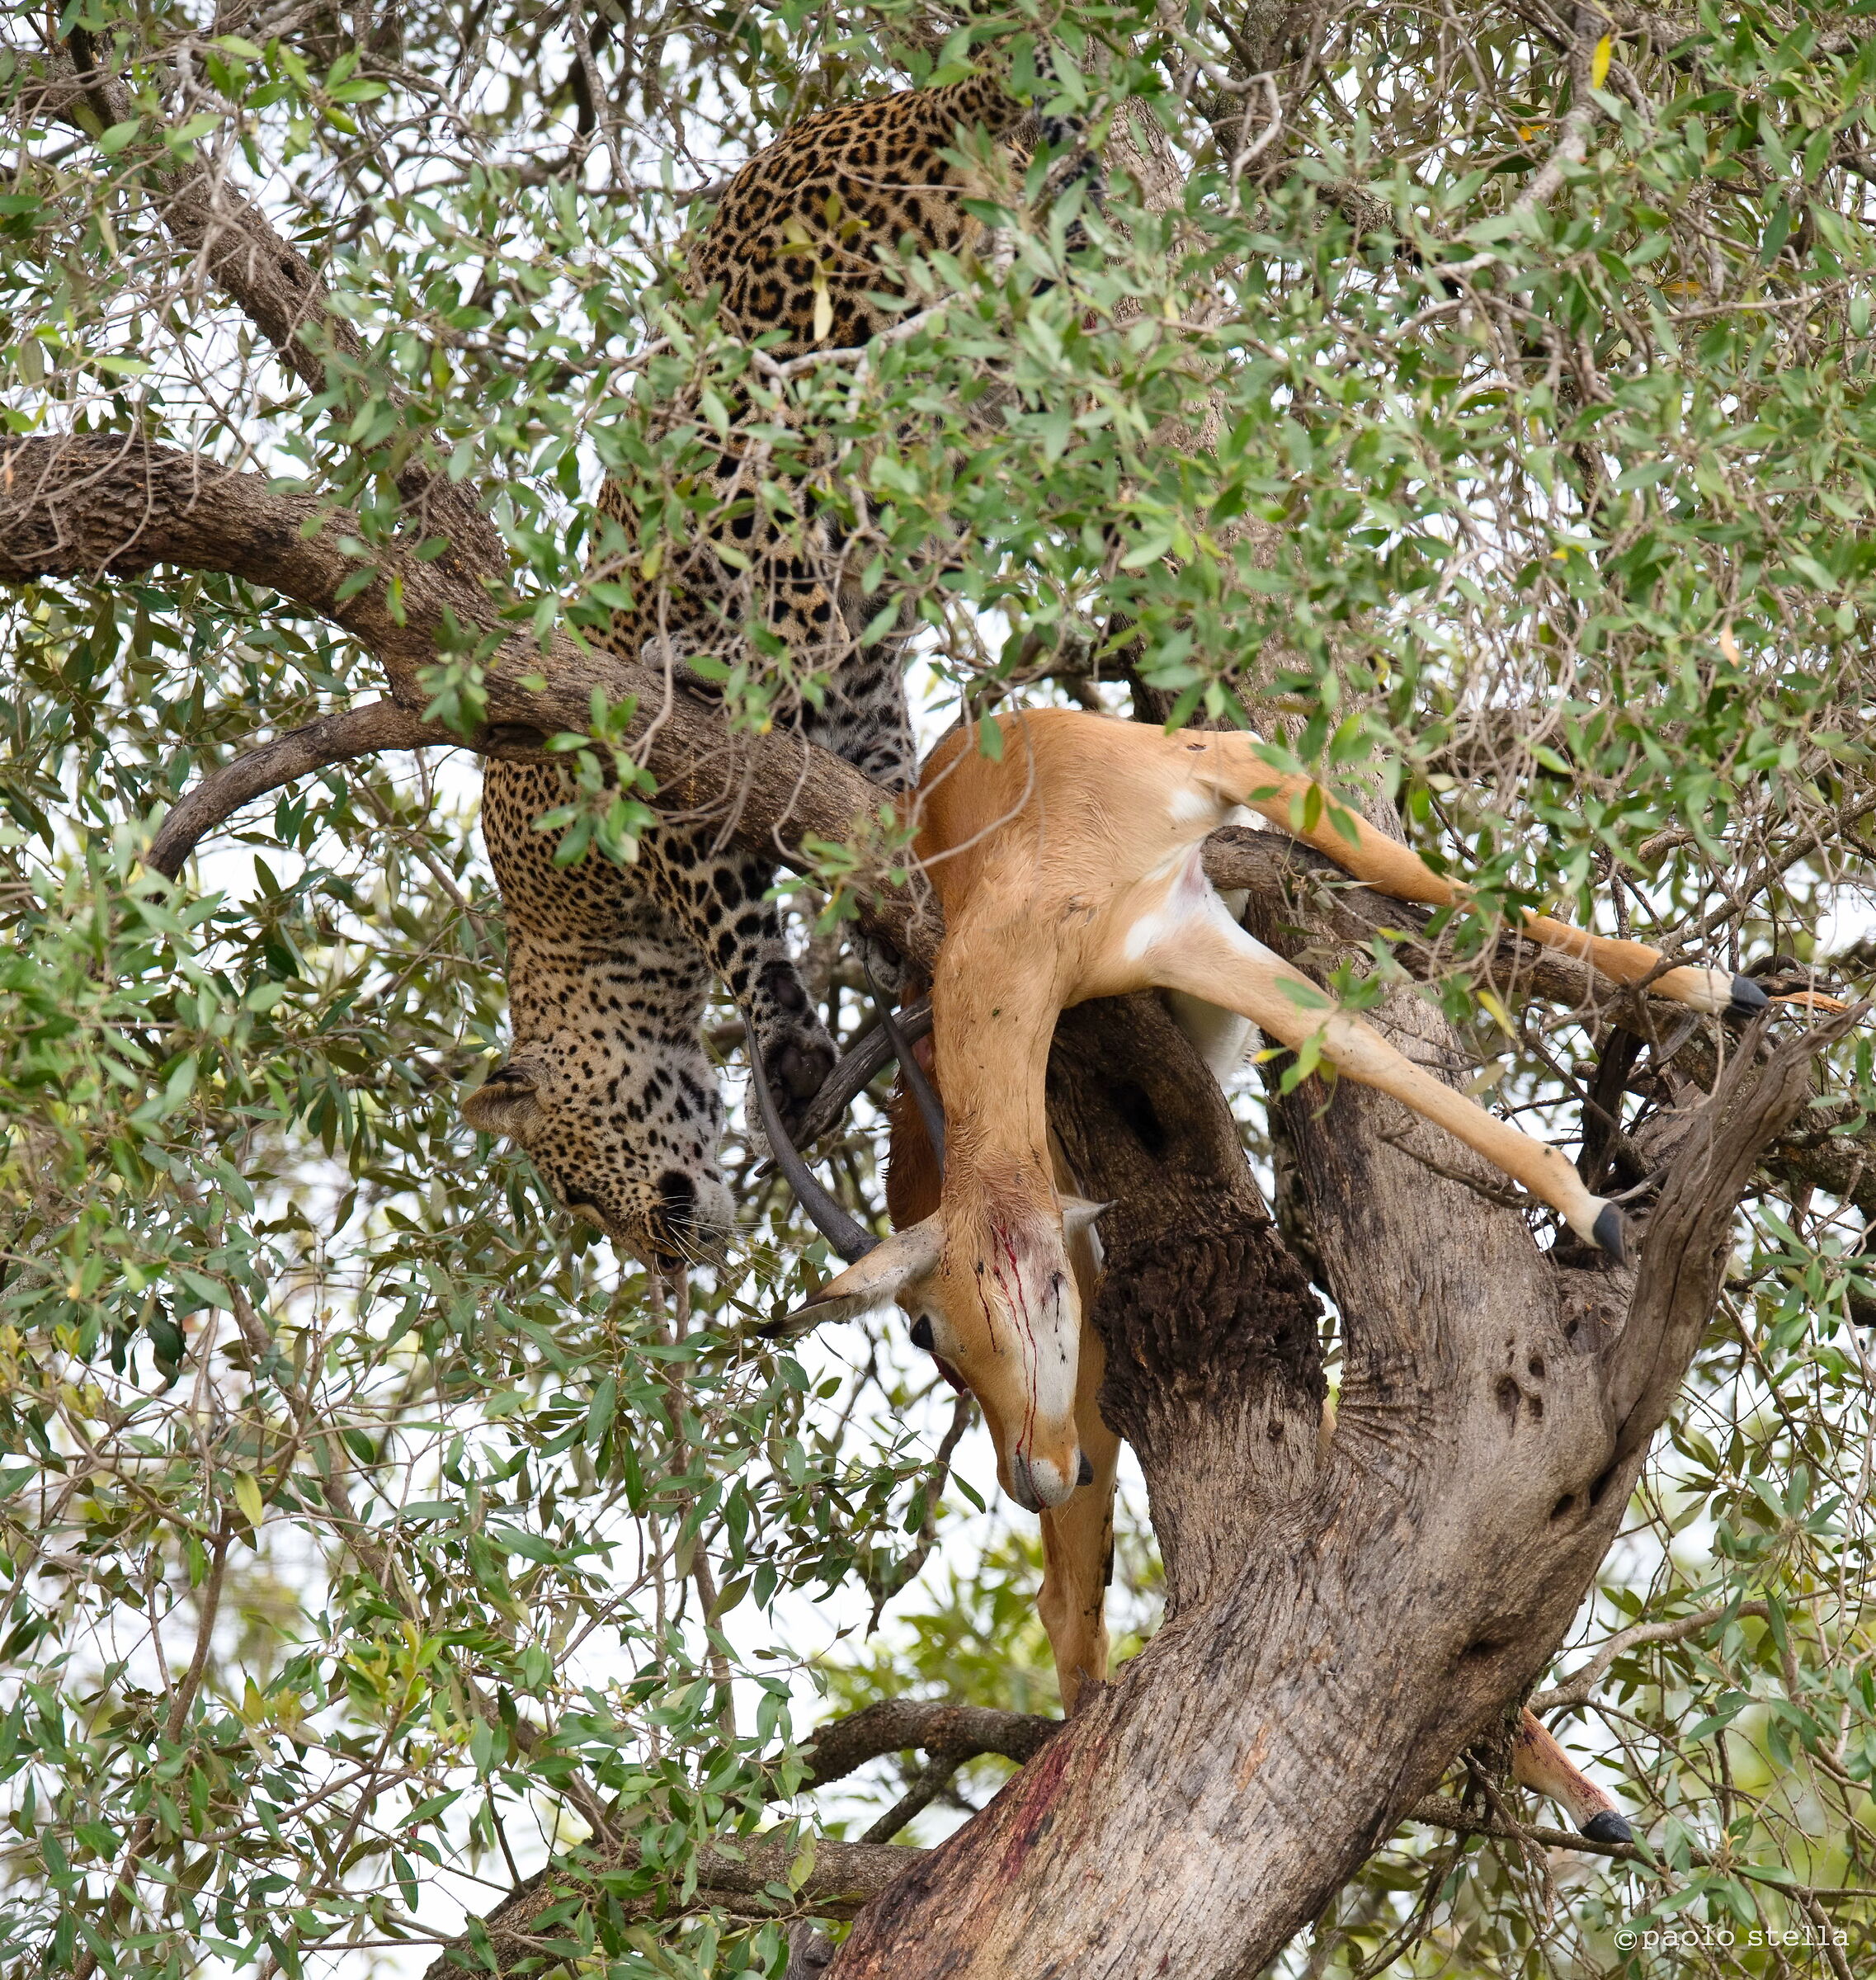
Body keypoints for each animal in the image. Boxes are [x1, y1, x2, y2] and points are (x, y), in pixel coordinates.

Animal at [463, 60, 1101, 1264]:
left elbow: (740, 925)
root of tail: (918, 96)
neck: (562, 940)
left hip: (756, 392)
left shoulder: (653, 811)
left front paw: (791, 1051)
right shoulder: (861, 716)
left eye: (570, 1192)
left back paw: (721, 667)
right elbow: (872, 778)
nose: (653, 1257)